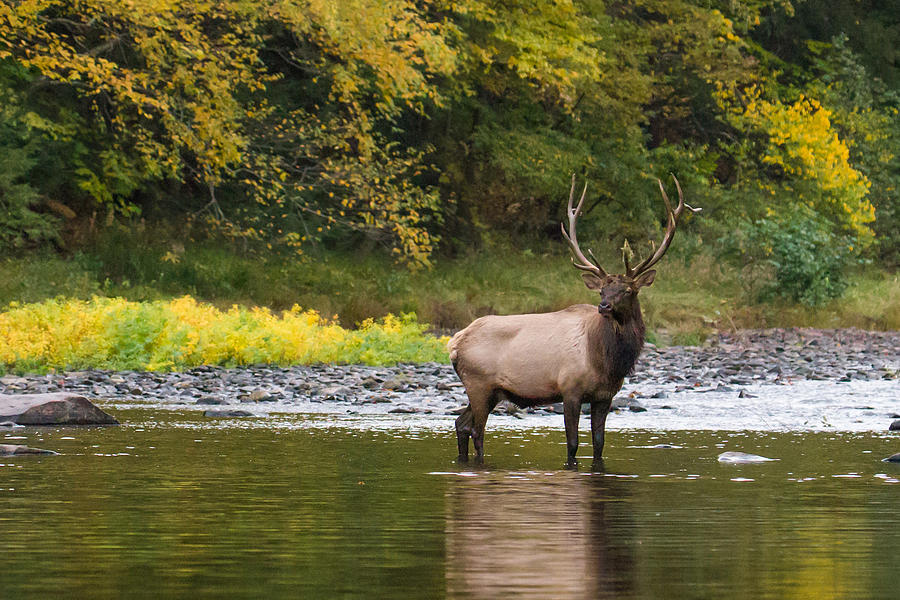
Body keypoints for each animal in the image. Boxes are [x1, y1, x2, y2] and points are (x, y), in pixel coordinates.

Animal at [446, 173, 700, 464]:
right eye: (602, 290)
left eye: (628, 290)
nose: (603, 306)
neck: (607, 362)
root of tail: (454, 344)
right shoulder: (570, 389)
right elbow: (573, 443)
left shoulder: (605, 396)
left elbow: (599, 443)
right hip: (479, 384)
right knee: (476, 431)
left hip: (491, 392)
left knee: (461, 424)